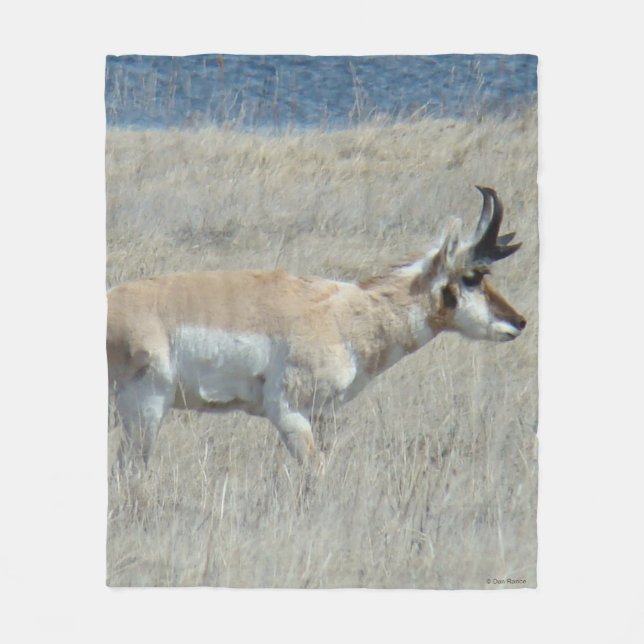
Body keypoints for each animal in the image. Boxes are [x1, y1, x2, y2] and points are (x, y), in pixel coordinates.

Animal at [107, 186, 525, 471]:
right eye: (472, 277)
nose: (519, 322)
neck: (345, 314)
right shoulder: (290, 414)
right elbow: (315, 472)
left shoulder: (324, 416)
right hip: (145, 410)